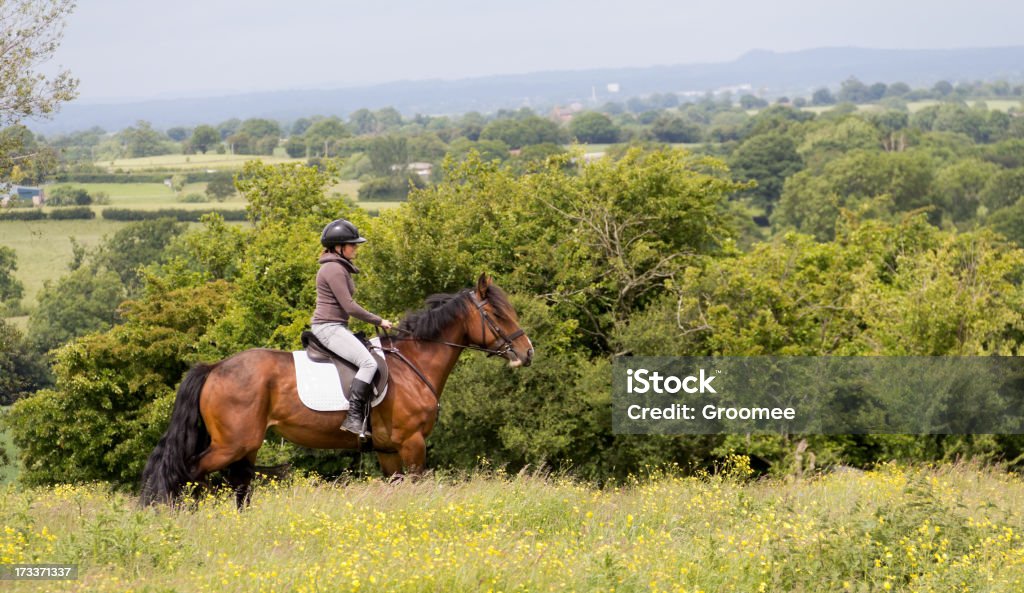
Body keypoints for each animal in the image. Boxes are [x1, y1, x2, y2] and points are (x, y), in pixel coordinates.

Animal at [139, 276, 532, 505]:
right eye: (499, 315)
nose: (527, 353)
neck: (412, 363)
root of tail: (215, 368)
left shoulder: (389, 450)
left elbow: (398, 489)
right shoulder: (412, 443)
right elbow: (416, 488)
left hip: (245, 447)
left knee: (239, 485)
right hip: (231, 444)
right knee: (190, 473)